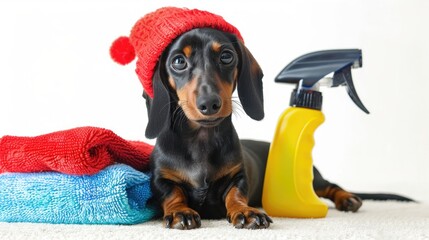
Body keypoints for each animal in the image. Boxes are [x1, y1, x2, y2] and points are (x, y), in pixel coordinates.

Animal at [143, 27, 362, 230]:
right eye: (178, 61)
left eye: (226, 56)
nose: (209, 103)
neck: (201, 140)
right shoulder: (161, 178)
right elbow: (172, 193)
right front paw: (180, 211)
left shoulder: (238, 176)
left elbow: (236, 194)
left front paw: (246, 212)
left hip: (313, 180)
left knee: (329, 186)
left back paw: (348, 199)